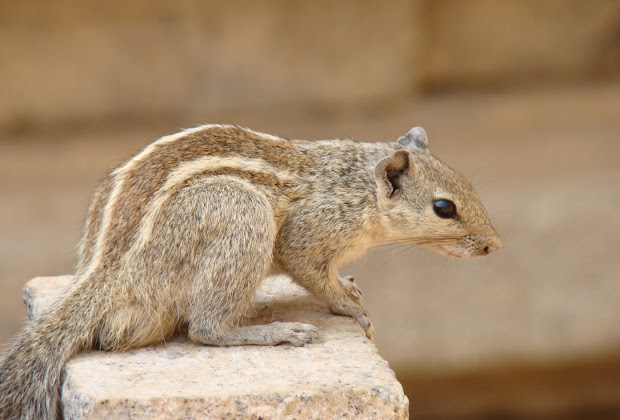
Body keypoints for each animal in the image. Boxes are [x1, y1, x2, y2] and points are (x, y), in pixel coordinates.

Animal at [0, 123, 502, 418]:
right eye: (444, 207)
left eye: (468, 185)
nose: (493, 245)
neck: (354, 185)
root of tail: (105, 273)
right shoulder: (307, 238)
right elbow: (314, 276)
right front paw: (350, 306)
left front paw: (350, 286)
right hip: (241, 215)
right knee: (205, 328)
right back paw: (276, 332)